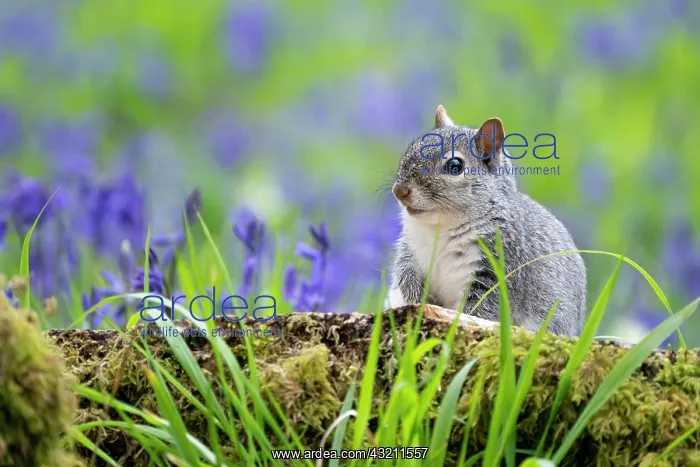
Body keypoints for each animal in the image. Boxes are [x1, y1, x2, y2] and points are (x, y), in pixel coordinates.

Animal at [387, 105, 587, 336]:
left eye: (455, 166)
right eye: (411, 148)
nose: (399, 191)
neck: (441, 227)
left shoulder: (500, 265)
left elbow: (481, 308)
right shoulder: (410, 249)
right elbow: (405, 274)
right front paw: (419, 299)